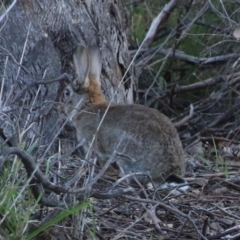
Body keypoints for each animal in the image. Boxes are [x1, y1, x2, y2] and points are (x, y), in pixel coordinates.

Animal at [59, 44, 187, 188]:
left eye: (66, 93)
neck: (86, 106)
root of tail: (169, 172)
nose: (59, 109)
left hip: (125, 156)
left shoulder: (92, 145)